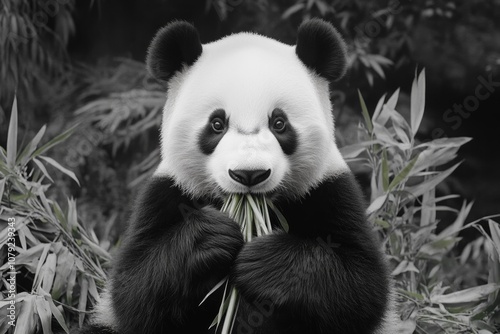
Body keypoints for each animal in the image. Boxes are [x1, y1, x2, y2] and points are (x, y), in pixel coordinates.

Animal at [78, 17, 398, 334]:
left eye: (279, 123)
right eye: (217, 124)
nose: (249, 174)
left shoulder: (328, 190)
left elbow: (361, 284)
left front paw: (266, 261)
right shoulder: (168, 191)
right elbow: (133, 288)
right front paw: (209, 236)